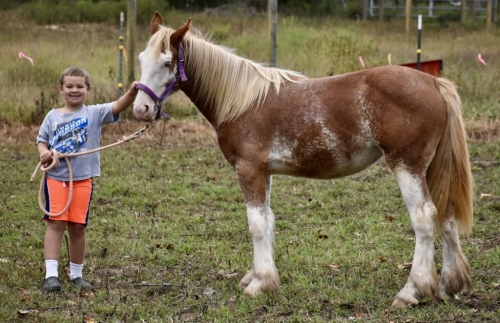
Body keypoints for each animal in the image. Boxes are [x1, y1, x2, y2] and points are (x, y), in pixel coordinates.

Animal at [132, 11, 472, 308]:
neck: (241, 101)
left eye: (167, 62)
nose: (140, 109)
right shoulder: (264, 173)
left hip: (407, 166)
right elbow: (267, 221)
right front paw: (259, 277)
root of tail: (434, 83)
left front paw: (259, 285)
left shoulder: (249, 170)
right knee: (445, 215)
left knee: (424, 218)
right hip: (430, 168)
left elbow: (256, 224)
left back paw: (412, 291)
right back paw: (448, 286)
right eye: (141, 59)